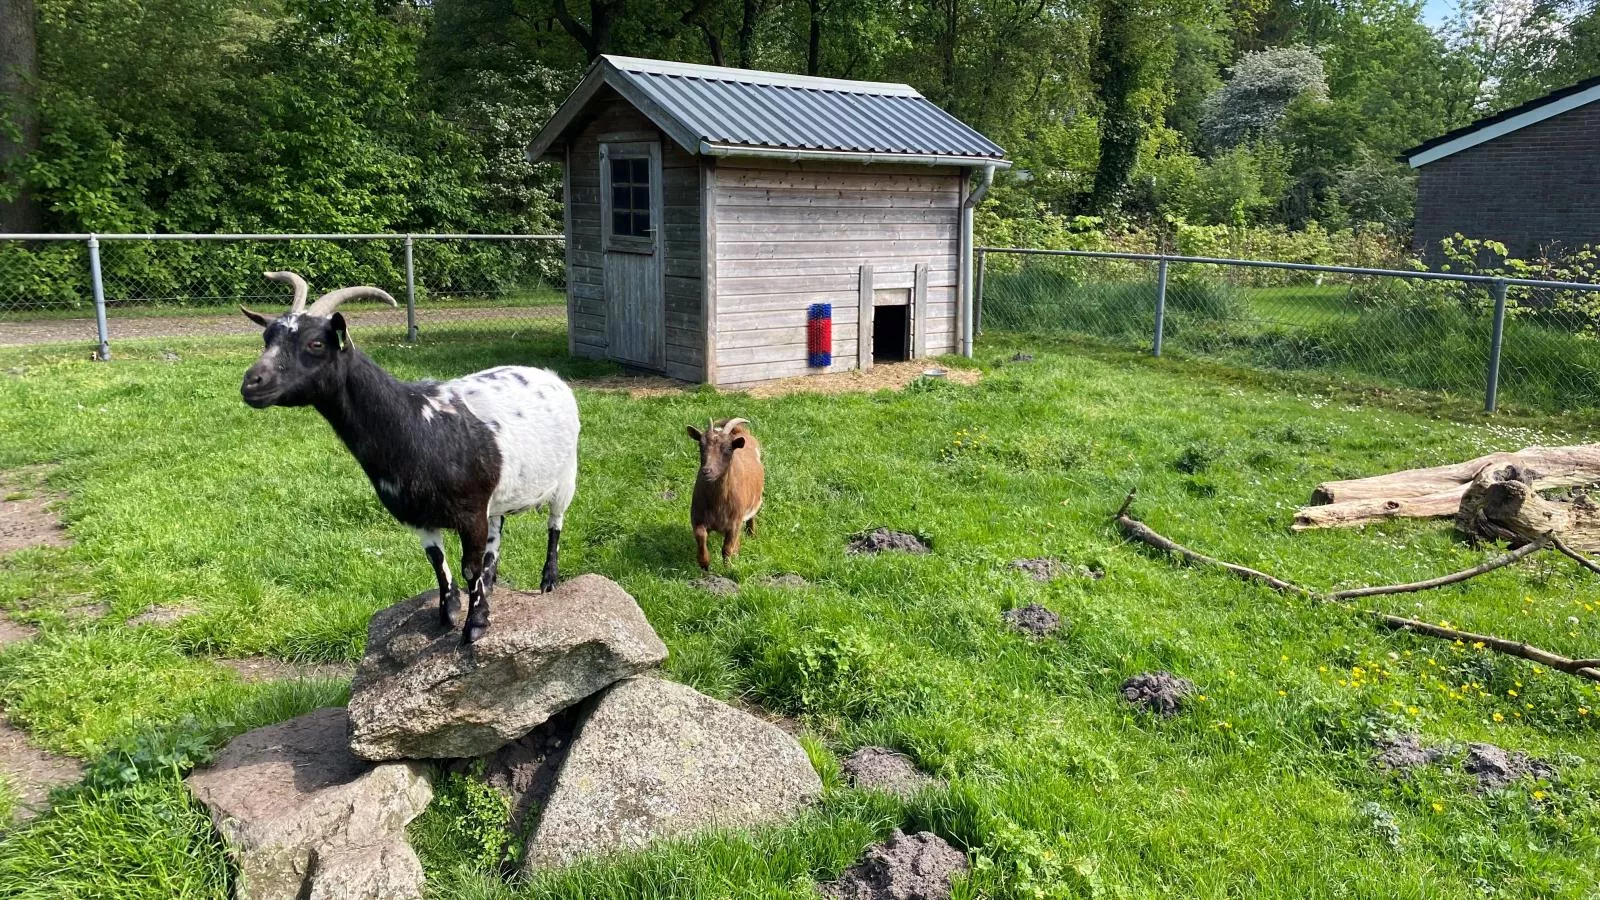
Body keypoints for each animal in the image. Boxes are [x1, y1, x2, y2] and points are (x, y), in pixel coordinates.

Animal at [240, 269, 579, 640]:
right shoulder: (418, 515)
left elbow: (469, 568)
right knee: (498, 531)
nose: (252, 383)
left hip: (567, 476)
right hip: (501, 494)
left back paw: (548, 581)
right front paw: (448, 611)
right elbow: (437, 562)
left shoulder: (471, 510)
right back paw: (494, 581)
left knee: (555, 524)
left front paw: (475, 625)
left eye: (316, 343)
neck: (418, 423)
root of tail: (550, 376)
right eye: (267, 338)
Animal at [684, 416, 764, 566]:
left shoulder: (735, 522)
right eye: (701, 445)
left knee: (751, 517)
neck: (717, 504)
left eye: (728, 448)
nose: (706, 471)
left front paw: (728, 567)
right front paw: (704, 563)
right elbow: (701, 535)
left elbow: (727, 549)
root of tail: (741, 432)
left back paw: (752, 534)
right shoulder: (697, 517)